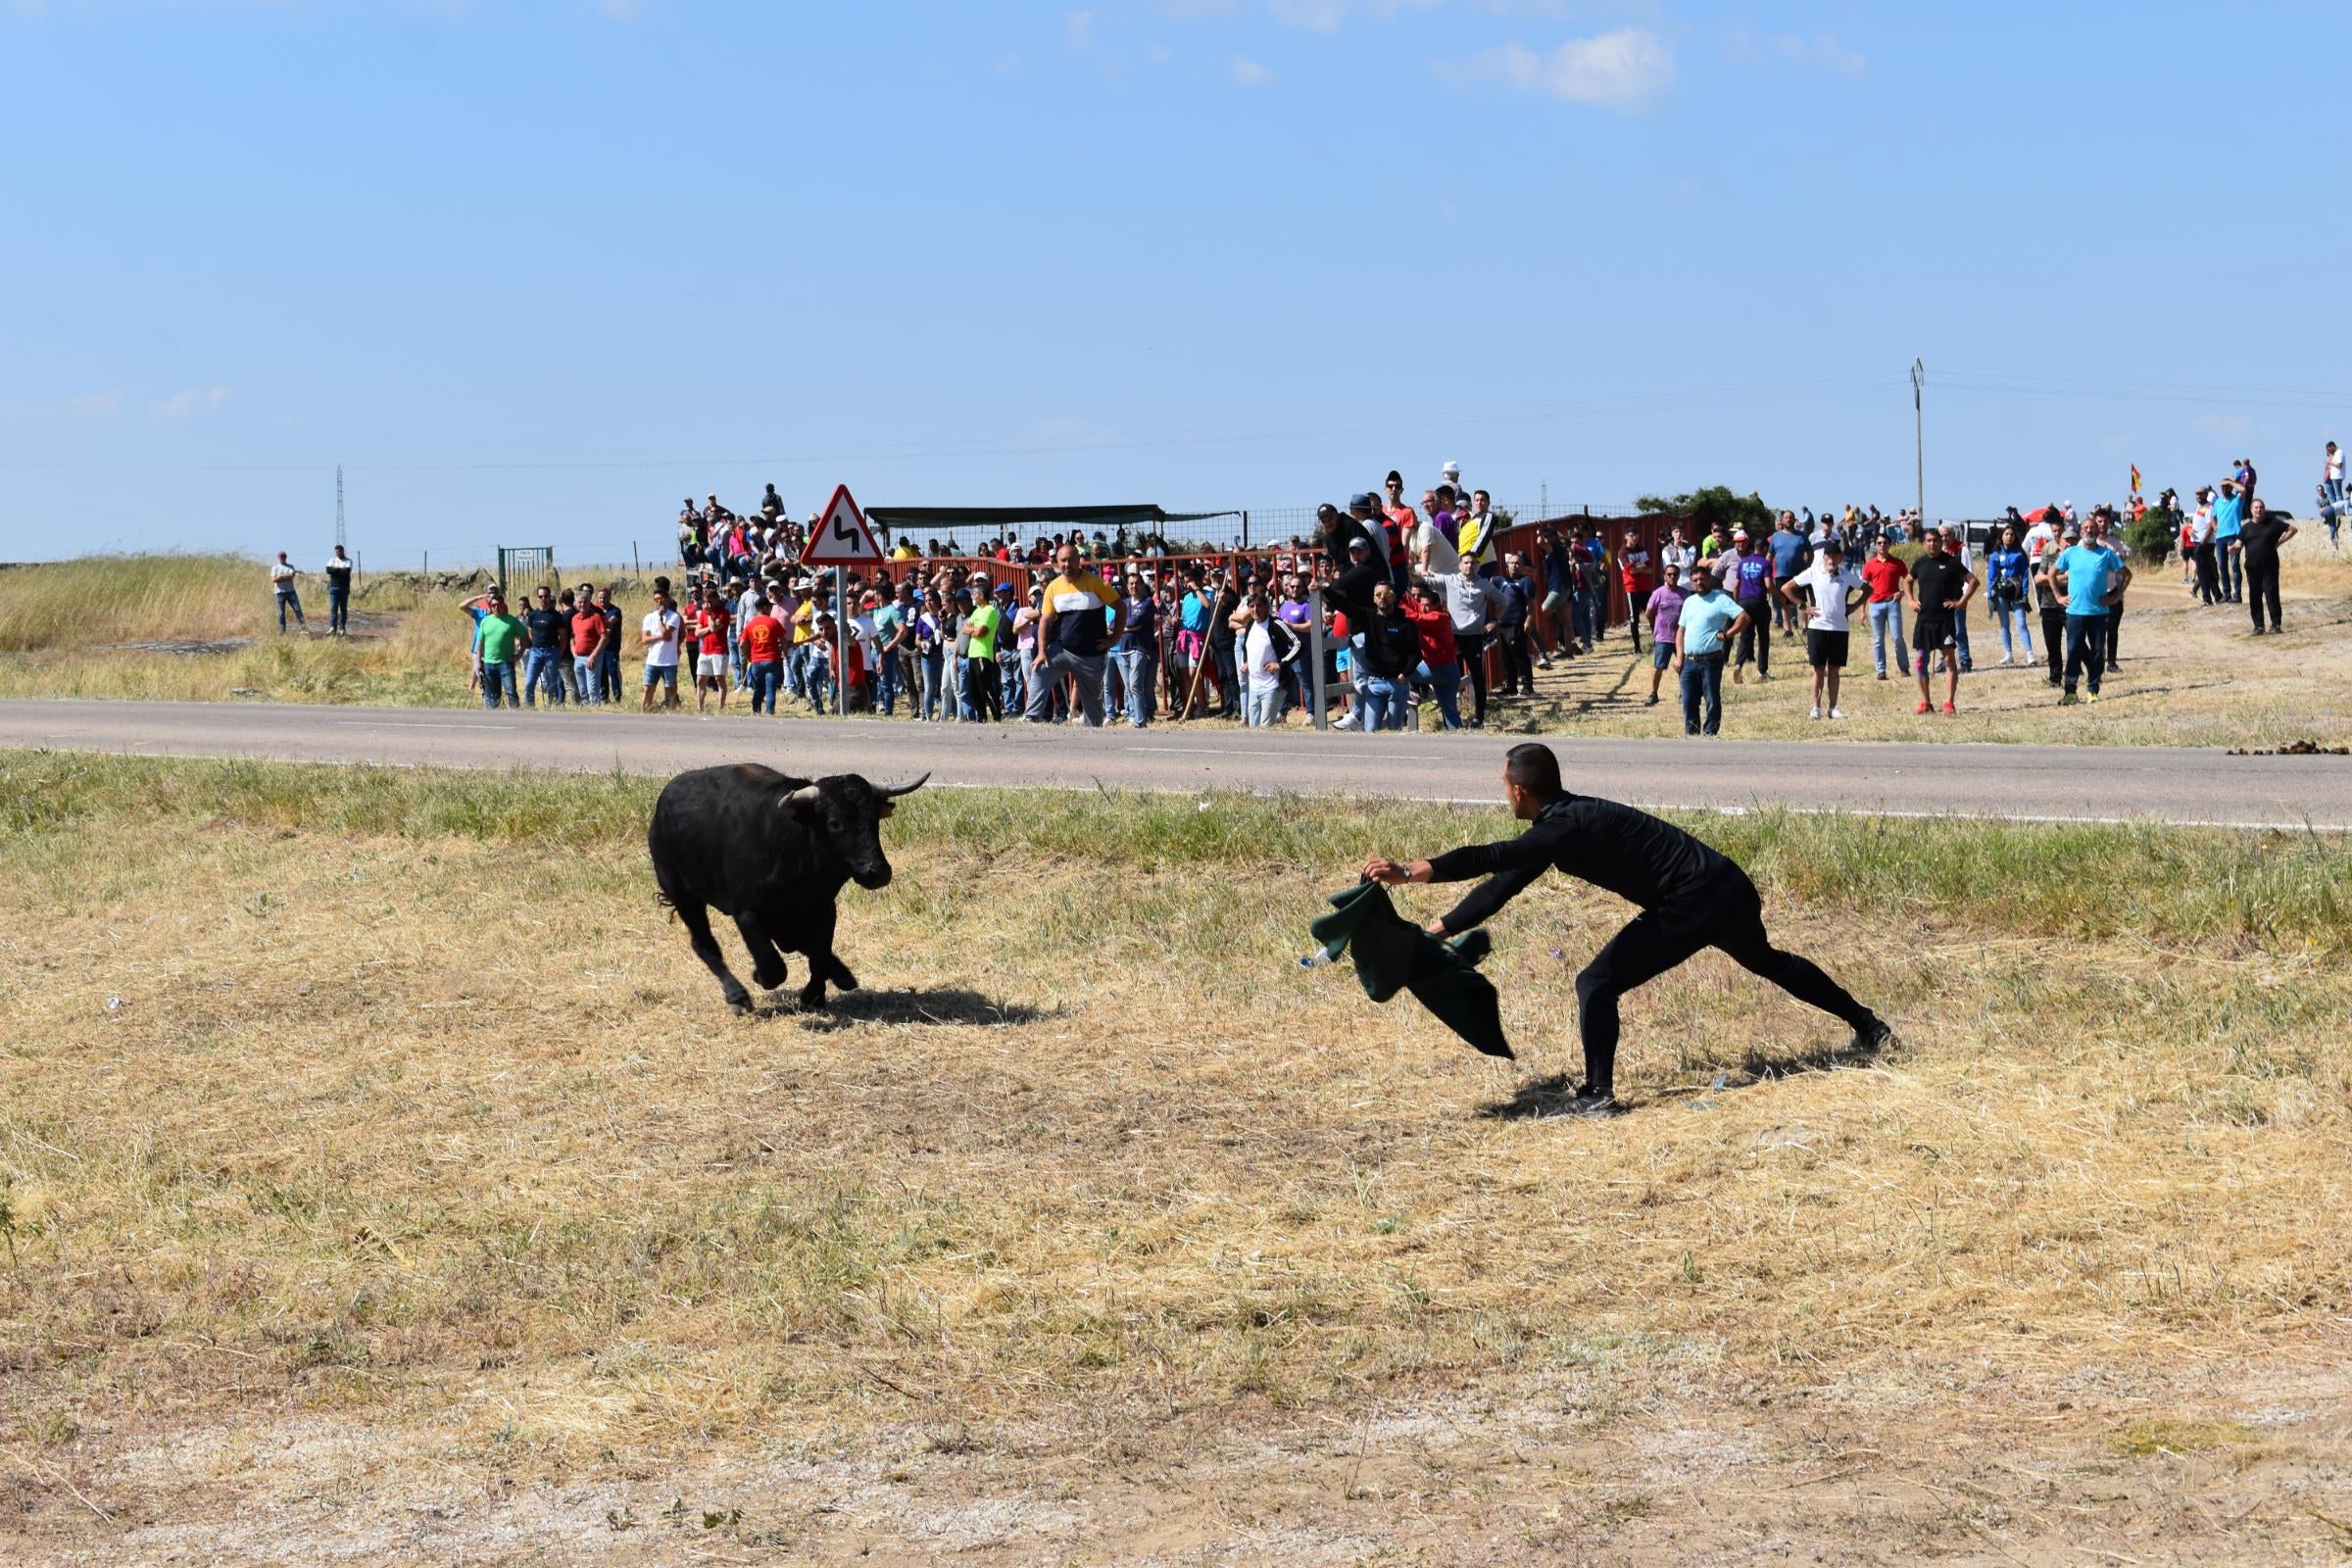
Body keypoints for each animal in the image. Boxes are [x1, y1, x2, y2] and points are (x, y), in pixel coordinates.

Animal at [654, 766, 936, 1010]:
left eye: (874, 818)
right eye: (834, 823)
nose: (877, 872)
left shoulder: (824, 909)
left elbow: (819, 954)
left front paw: (814, 995)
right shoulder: (747, 913)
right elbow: (773, 966)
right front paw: (759, 976)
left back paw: (842, 975)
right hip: (684, 897)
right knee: (704, 944)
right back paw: (736, 996)